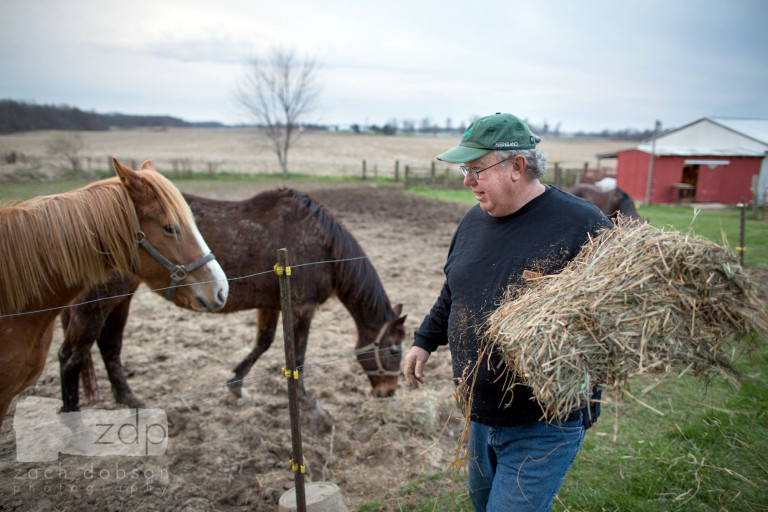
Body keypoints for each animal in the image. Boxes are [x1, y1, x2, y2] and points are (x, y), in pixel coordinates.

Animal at [58, 188, 408, 428]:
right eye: (393, 350)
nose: (389, 392)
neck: (321, 243)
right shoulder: (302, 308)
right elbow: (298, 359)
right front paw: (311, 409)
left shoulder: (272, 305)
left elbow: (263, 344)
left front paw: (236, 384)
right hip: (100, 300)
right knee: (71, 356)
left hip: (122, 298)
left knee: (109, 346)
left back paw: (130, 401)